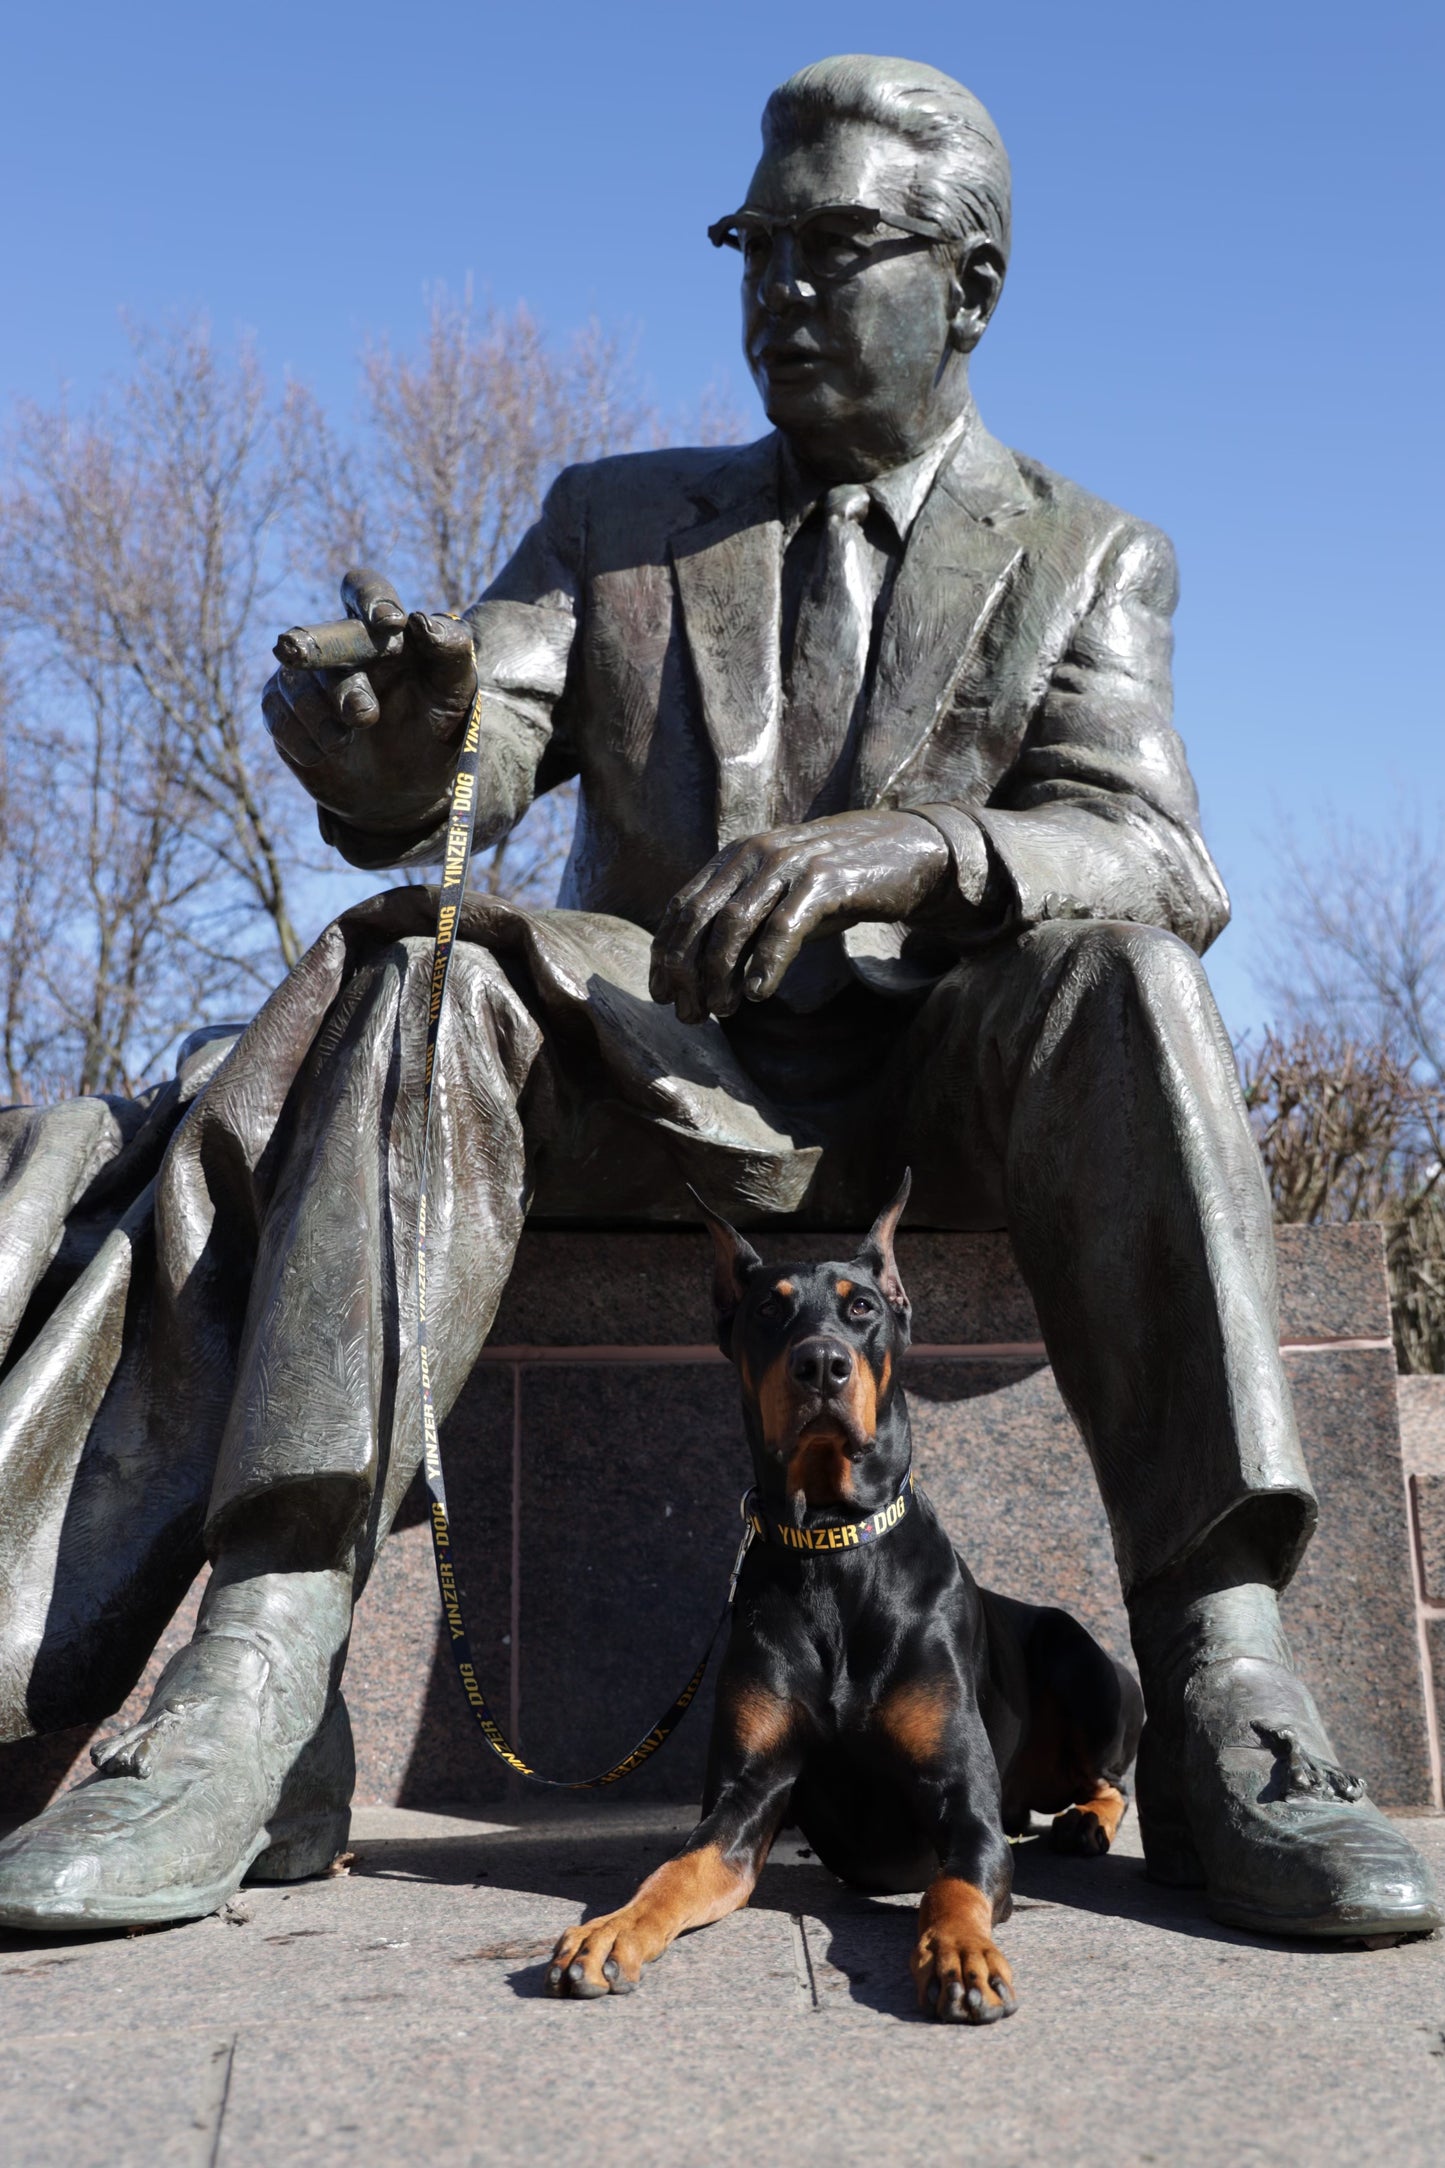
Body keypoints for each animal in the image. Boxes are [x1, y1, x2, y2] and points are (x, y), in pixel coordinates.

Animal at [548, 1179, 1143, 2020]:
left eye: (860, 1306)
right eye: (768, 1312)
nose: (821, 1364)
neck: (831, 1548)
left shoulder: (963, 1804)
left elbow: (952, 1887)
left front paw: (961, 1955)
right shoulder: (746, 1794)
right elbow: (677, 1869)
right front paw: (612, 1929)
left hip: (1079, 1661)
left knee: (1109, 1779)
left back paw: (1086, 1823)